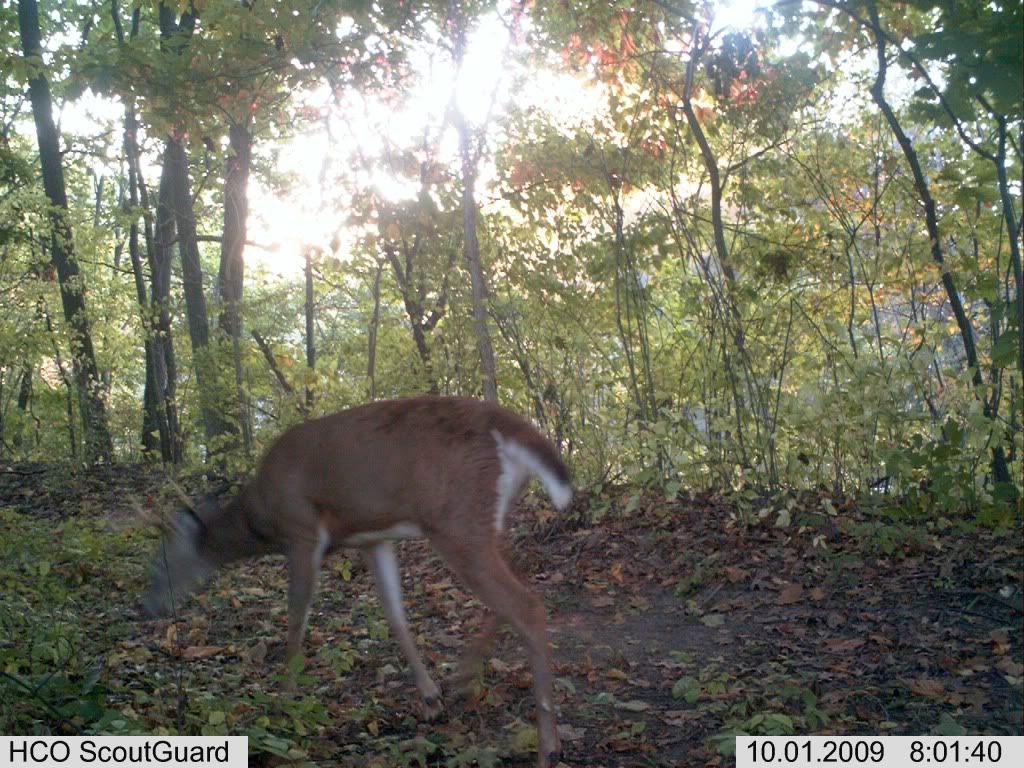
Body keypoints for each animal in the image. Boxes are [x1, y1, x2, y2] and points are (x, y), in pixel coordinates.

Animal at [142, 396, 571, 768]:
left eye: (160, 565)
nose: (146, 606)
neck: (260, 519)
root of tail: (508, 425)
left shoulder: (301, 533)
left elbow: (296, 622)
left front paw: (282, 705)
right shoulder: (372, 539)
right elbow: (394, 615)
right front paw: (430, 699)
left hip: (456, 520)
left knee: (526, 605)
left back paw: (547, 746)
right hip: (489, 518)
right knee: (519, 587)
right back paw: (464, 680)